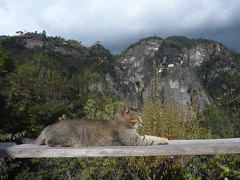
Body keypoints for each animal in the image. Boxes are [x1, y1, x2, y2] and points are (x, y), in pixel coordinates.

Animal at [28, 107, 168, 146]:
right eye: (137, 118)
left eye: (141, 118)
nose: (142, 123)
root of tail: (48, 127)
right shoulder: (133, 139)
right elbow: (152, 139)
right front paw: (164, 139)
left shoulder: (137, 136)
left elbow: (150, 136)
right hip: (68, 136)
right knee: (50, 143)